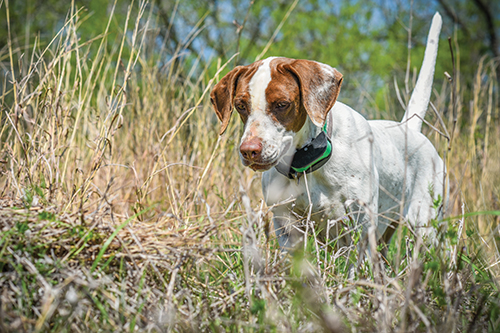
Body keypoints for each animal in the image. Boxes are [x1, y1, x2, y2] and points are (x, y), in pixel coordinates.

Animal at [211, 14, 446, 250]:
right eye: (241, 105)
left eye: (282, 104)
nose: (249, 150)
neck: (306, 164)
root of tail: (408, 127)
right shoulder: (287, 228)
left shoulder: (360, 228)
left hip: (425, 229)